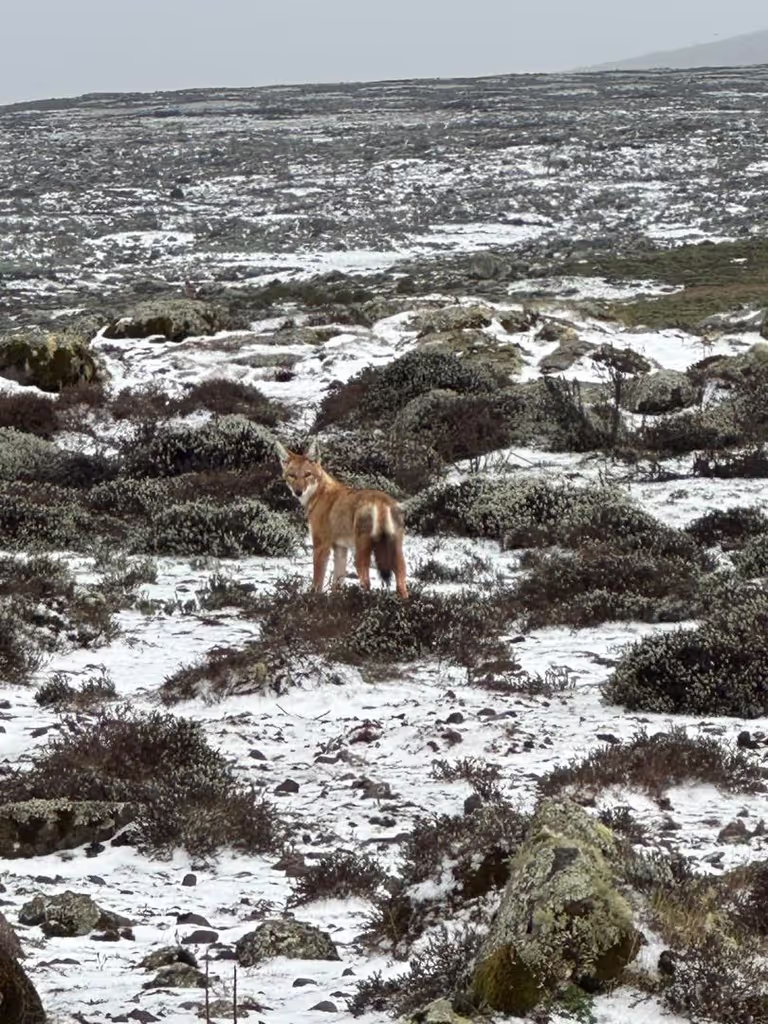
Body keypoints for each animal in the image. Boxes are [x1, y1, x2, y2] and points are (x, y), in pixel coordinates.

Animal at [275, 439, 409, 599]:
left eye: (307, 474)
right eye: (292, 475)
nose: (298, 492)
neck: (318, 495)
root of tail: (381, 500)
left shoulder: (321, 546)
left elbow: (317, 583)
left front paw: (313, 600)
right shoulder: (340, 549)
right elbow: (336, 584)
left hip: (359, 555)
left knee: (367, 584)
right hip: (396, 555)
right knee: (402, 586)